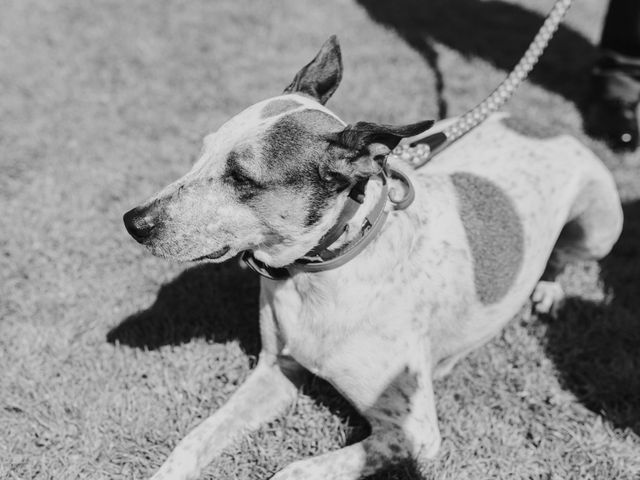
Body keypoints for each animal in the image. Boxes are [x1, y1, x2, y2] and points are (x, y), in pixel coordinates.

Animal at [122, 35, 624, 478]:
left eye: (242, 178)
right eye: (202, 152)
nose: (133, 221)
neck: (322, 272)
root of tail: (549, 125)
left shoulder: (412, 434)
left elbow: (295, 470)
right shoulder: (276, 370)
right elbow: (195, 439)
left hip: (599, 228)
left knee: (563, 255)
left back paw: (549, 289)